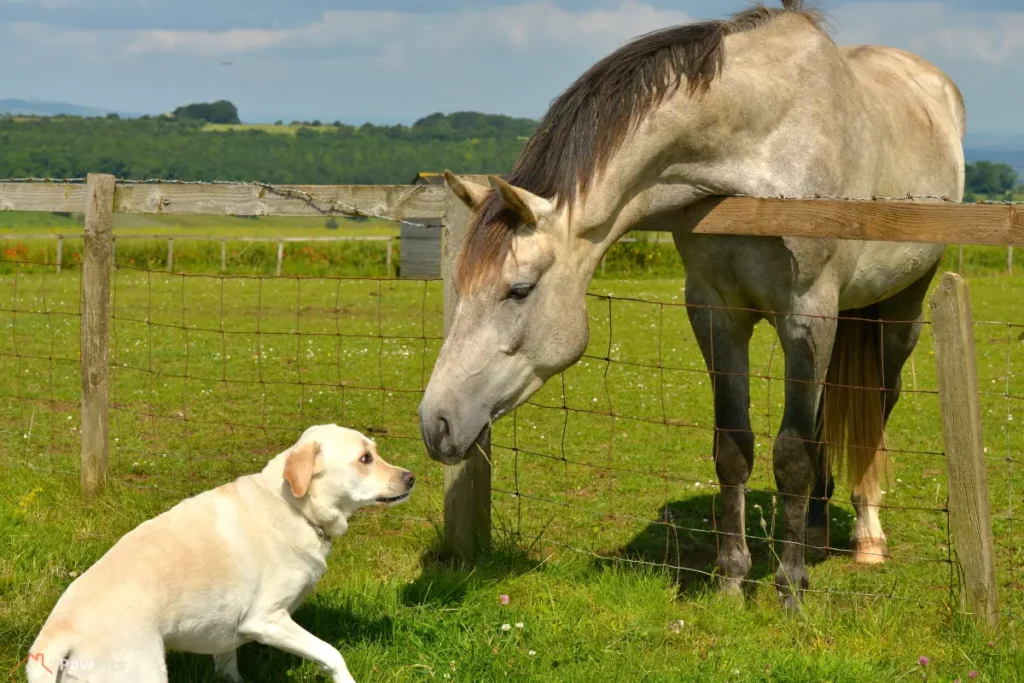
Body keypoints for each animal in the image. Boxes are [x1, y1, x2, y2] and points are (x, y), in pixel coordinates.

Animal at [25, 423, 413, 679]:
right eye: (365, 458)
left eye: (375, 452)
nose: (411, 477)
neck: (292, 506)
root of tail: (58, 633)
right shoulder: (267, 620)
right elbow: (332, 655)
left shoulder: (228, 631)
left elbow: (227, 665)